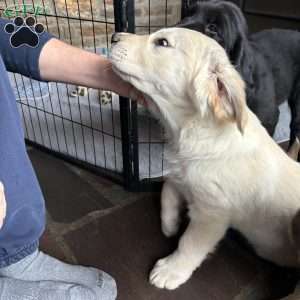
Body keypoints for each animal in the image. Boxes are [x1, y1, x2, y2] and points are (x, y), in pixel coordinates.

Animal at [111, 27, 300, 292]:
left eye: (162, 42)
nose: (113, 37)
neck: (190, 131)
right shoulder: (181, 175)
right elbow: (167, 190)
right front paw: (170, 224)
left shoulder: (212, 214)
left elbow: (189, 244)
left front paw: (170, 270)